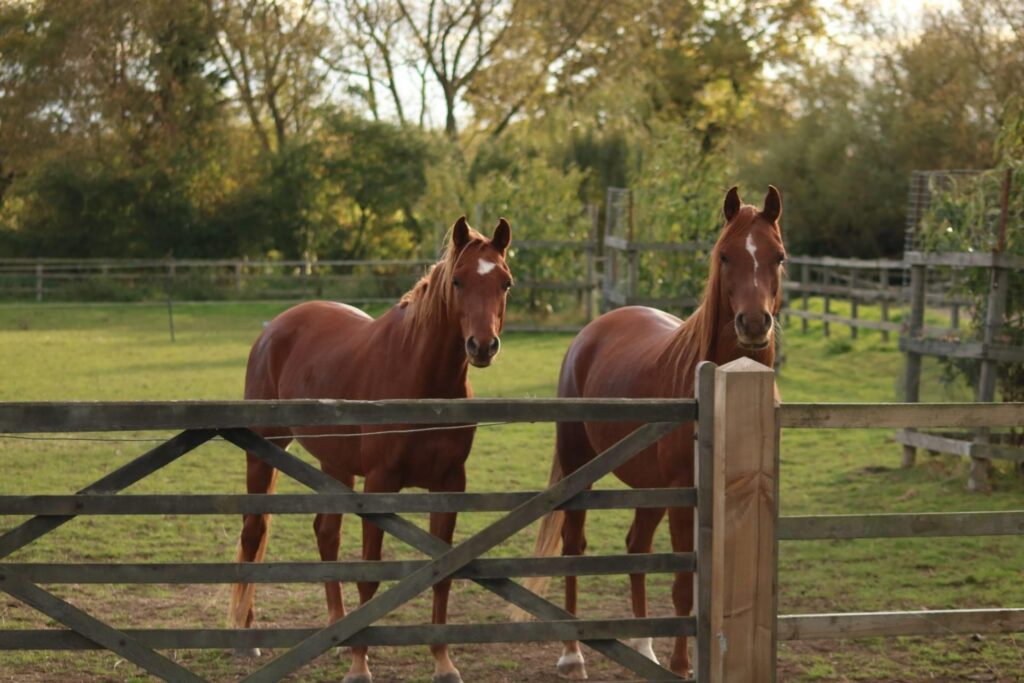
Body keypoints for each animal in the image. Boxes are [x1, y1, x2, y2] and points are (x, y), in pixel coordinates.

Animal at [235, 218, 516, 683]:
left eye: (505, 283)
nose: (482, 346)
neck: (422, 382)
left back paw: (336, 626)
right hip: (263, 453)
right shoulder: (381, 484)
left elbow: (443, 575)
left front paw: (443, 662)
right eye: (457, 281)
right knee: (253, 533)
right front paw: (359, 665)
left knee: (325, 534)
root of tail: (275, 327)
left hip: (334, 465)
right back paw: (245, 636)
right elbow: (369, 575)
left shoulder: (450, 484)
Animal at [528, 187, 782, 679]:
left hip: (650, 488)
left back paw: (644, 649)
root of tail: (594, 329)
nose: (753, 323)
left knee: (637, 547)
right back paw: (572, 653)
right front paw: (683, 667)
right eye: (725, 255)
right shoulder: (686, 497)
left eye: (778, 257)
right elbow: (684, 587)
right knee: (574, 546)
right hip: (579, 469)